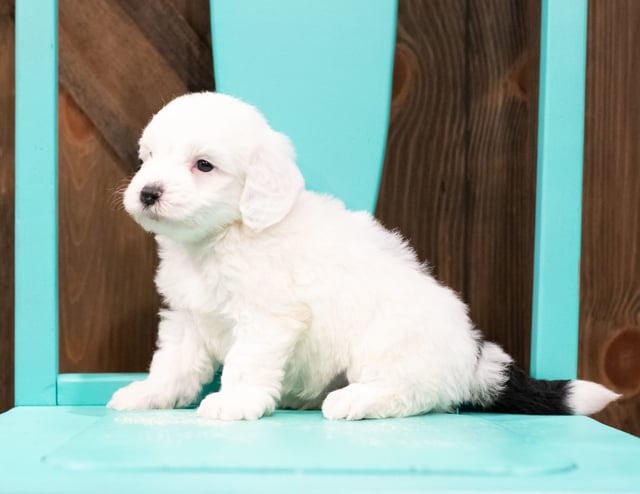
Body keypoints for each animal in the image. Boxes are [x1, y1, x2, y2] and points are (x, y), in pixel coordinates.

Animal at [110, 90, 620, 418]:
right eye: (147, 158)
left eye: (204, 165)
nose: (148, 193)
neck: (223, 237)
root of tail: (473, 356)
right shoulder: (187, 317)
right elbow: (173, 363)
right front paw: (149, 394)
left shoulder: (266, 317)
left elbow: (245, 363)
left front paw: (233, 402)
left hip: (388, 343)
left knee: (412, 395)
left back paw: (354, 400)